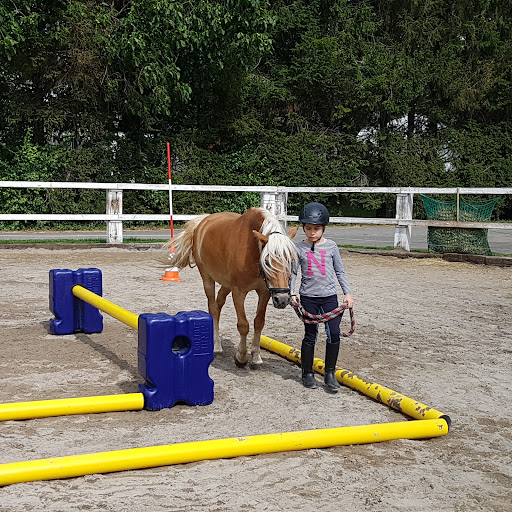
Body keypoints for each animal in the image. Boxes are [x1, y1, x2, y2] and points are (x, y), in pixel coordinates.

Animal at [166, 206, 298, 366]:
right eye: (267, 261)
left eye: (290, 260)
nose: (283, 299)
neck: (252, 250)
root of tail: (203, 221)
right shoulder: (238, 292)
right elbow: (243, 325)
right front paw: (241, 357)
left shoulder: (264, 292)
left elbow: (259, 322)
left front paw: (256, 356)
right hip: (207, 278)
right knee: (213, 307)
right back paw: (216, 346)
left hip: (226, 284)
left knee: (219, 303)